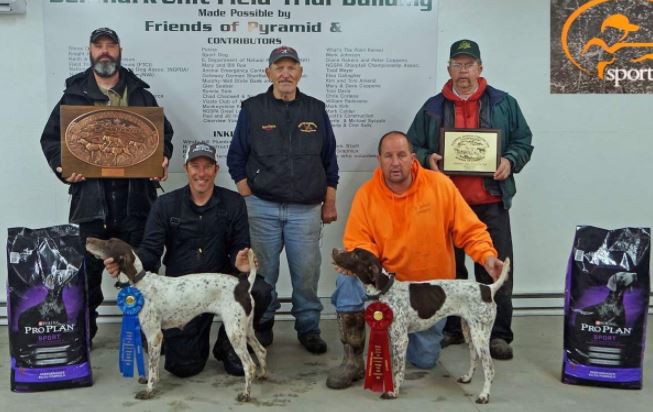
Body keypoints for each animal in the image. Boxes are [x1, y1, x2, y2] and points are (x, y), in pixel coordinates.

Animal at [86, 237, 264, 400]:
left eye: (108, 242)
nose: (87, 239)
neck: (139, 284)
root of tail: (244, 285)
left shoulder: (154, 335)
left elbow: (152, 366)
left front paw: (149, 390)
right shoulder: (153, 337)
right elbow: (154, 367)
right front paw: (153, 381)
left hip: (234, 331)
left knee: (249, 365)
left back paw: (246, 394)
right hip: (246, 329)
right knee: (261, 351)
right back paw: (263, 376)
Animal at [332, 248, 510, 402]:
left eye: (355, 255)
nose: (334, 250)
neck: (387, 291)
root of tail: (488, 289)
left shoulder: (400, 340)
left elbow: (398, 369)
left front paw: (393, 391)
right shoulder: (391, 335)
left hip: (480, 335)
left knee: (489, 368)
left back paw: (484, 396)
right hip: (469, 331)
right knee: (474, 357)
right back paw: (467, 378)